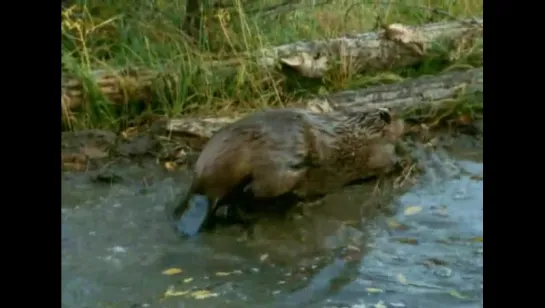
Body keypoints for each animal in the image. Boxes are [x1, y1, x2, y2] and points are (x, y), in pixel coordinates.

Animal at [170, 106, 404, 236]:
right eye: (396, 116)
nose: (404, 120)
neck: (360, 128)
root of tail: (200, 189)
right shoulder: (374, 149)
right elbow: (386, 159)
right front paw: (400, 160)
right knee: (257, 189)